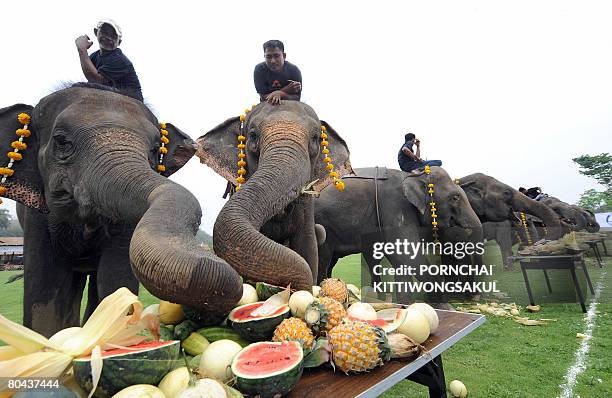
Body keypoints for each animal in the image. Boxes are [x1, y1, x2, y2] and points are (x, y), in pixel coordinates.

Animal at [1, 83, 243, 336]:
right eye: (61, 141)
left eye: (155, 149)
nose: (208, 255)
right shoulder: (36, 218)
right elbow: (45, 289)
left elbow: (116, 279)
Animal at [316, 165, 482, 302]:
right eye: (455, 198)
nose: (475, 297)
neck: (413, 175)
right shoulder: (394, 205)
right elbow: (405, 253)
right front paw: (443, 305)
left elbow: (398, 257)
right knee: (323, 259)